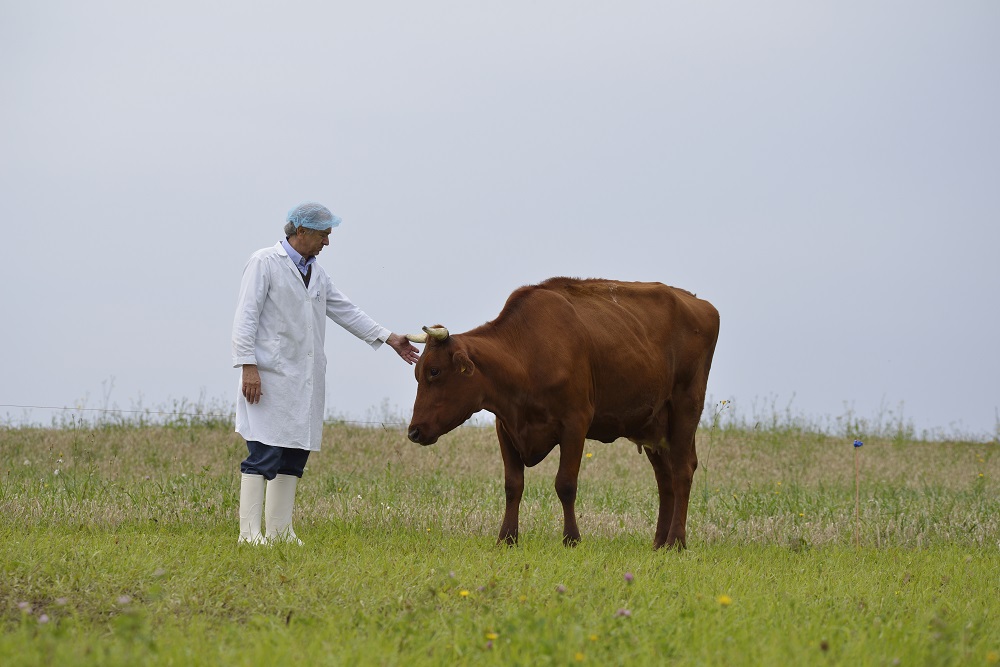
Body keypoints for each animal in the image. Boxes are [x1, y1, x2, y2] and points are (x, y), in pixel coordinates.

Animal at [406, 276, 720, 548]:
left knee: (682, 471)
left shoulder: (575, 423)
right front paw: (507, 538)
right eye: (418, 373)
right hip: (654, 425)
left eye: (434, 371)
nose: (414, 431)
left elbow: (565, 484)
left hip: (685, 407)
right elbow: (513, 485)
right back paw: (659, 544)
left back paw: (676, 542)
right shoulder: (506, 427)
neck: (526, 355)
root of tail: (698, 302)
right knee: (665, 479)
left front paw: (572, 539)